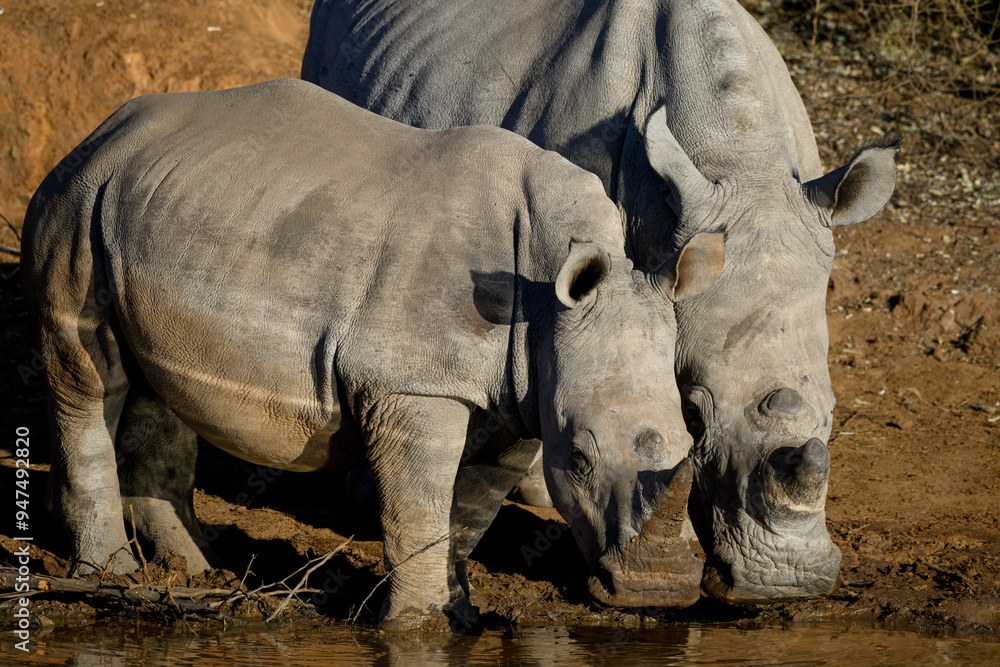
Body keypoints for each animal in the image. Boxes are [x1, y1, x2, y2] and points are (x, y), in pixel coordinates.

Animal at [21, 79, 726, 628]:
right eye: (579, 458)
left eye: (692, 443)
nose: (658, 591)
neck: (550, 291)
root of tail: (100, 132)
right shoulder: (414, 384)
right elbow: (418, 507)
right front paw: (416, 627)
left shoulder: (520, 399)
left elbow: (467, 514)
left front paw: (459, 615)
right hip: (76, 202)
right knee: (89, 377)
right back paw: (112, 575)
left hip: (153, 207)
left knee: (158, 388)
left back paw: (196, 576)